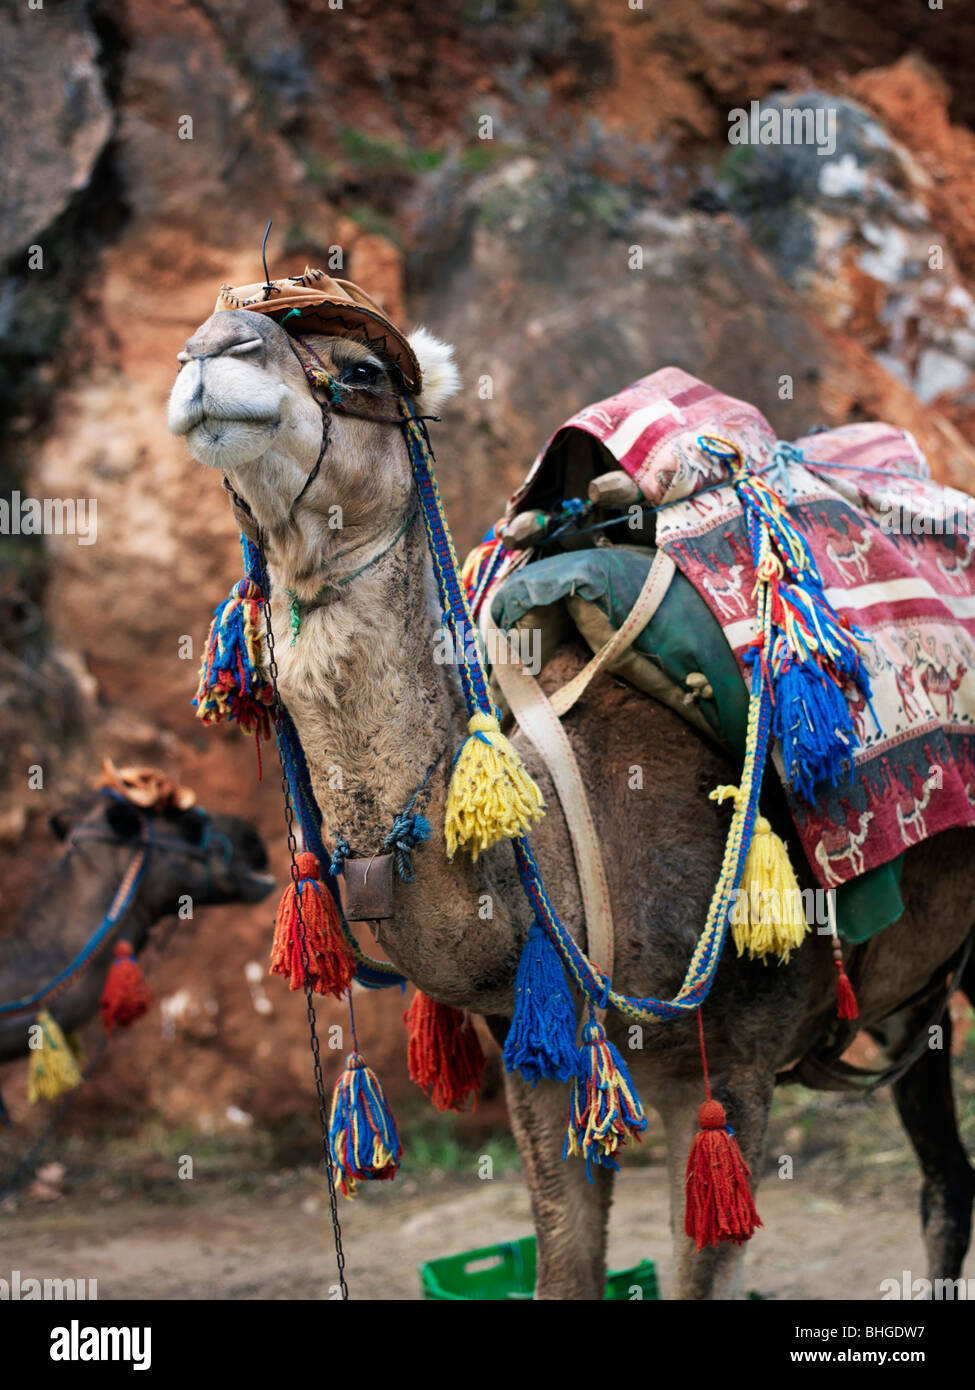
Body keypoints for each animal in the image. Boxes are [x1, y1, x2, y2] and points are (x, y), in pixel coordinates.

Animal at [169, 303, 975, 1300]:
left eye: (360, 370)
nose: (214, 346)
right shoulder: (542, 1065)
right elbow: (563, 1268)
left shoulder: (733, 1067)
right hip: (916, 990)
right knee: (946, 1179)